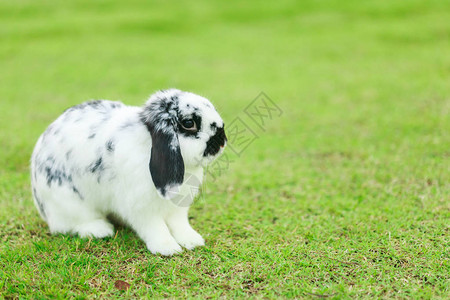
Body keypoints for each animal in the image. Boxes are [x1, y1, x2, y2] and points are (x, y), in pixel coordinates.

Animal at [30, 89, 227, 255]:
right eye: (188, 123)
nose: (222, 140)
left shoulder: (177, 208)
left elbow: (179, 225)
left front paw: (193, 241)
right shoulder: (142, 208)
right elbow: (155, 228)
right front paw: (167, 248)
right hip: (70, 203)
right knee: (75, 223)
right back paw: (100, 230)